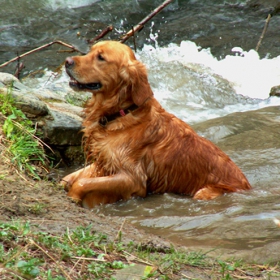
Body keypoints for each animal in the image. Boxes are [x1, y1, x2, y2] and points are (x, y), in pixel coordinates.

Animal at [60, 40, 252, 209]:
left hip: (203, 192)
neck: (121, 113)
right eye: (90, 51)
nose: (67, 61)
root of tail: (248, 186)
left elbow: (82, 183)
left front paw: (74, 196)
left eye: (101, 57)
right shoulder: (104, 160)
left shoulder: (133, 178)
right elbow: (69, 177)